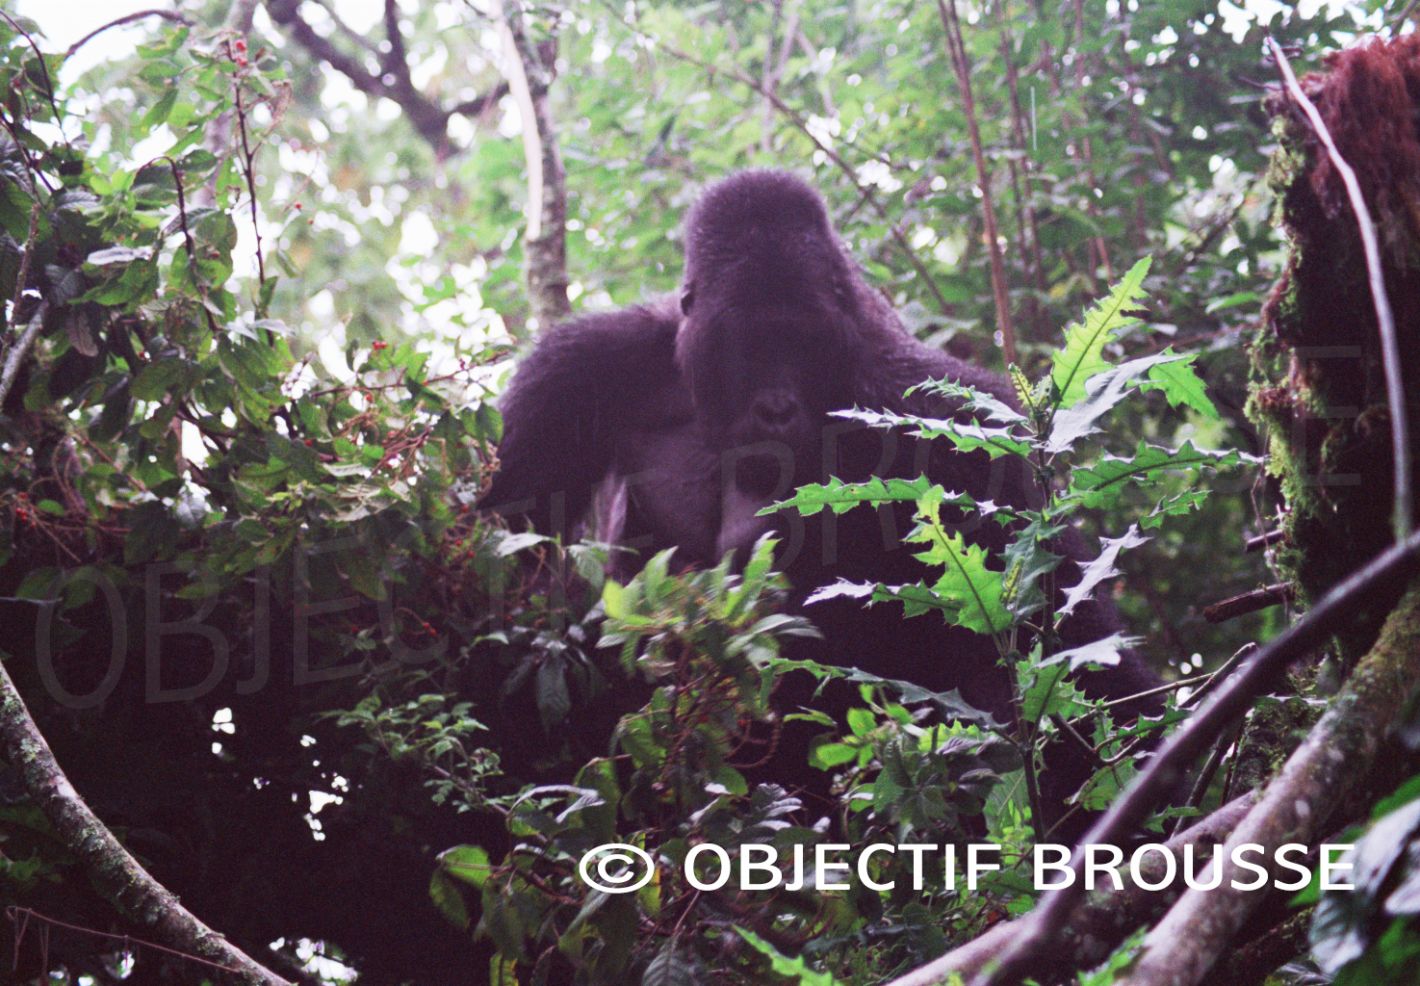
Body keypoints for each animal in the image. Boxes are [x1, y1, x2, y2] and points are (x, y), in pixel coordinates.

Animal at [482, 171, 1158, 835]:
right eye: (748, 346)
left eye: (799, 341)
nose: (776, 409)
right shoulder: (580, 368)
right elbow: (499, 554)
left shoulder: (949, 417)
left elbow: (1054, 626)